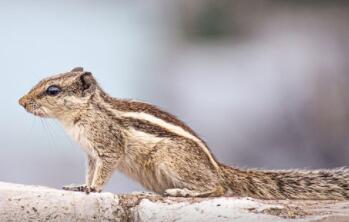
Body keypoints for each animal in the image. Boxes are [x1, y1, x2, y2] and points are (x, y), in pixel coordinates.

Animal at [18, 67, 348, 199]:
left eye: (52, 90)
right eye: (43, 82)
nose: (21, 102)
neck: (84, 114)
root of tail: (218, 166)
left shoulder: (108, 147)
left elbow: (103, 173)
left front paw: (93, 190)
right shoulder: (90, 154)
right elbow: (89, 172)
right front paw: (80, 186)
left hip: (171, 159)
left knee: (217, 188)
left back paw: (185, 192)